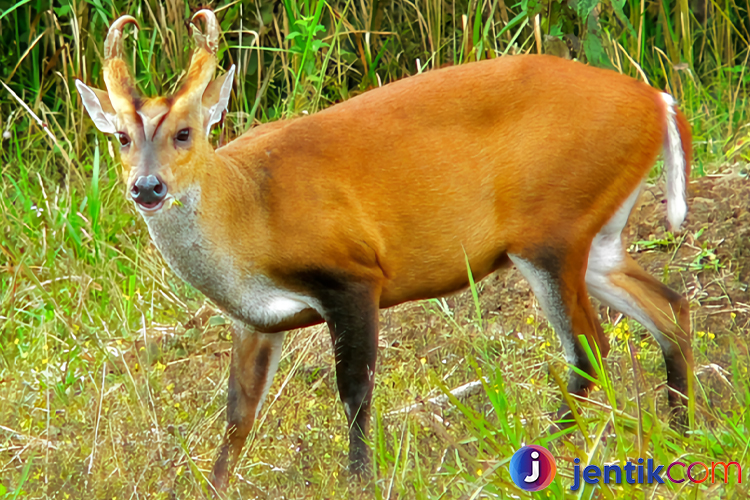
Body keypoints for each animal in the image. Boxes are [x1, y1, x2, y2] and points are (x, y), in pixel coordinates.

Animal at [76, 9, 692, 490]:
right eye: (122, 138)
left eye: (185, 132)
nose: (147, 188)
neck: (249, 210)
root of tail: (658, 99)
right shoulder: (256, 320)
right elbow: (237, 416)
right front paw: (216, 485)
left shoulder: (353, 275)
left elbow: (354, 392)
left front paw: (360, 479)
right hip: (596, 235)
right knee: (669, 306)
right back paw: (679, 437)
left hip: (551, 228)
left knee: (592, 348)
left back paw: (525, 457)